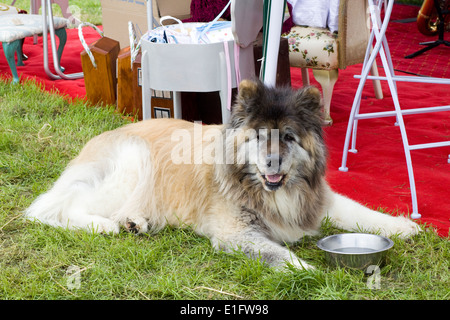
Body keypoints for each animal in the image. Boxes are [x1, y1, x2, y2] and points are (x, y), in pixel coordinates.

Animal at [23, 80, 418, 270]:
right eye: (259, 136)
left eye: (288, 137)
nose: (273, 163)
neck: (271, 190)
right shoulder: (236, 233)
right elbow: (280, 255)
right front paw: (310, 270)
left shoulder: (317, 201)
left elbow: (360, 211)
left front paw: (403, 226)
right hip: (132, 164)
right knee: (58, 207)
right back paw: (102, 225)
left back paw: (136, 222)